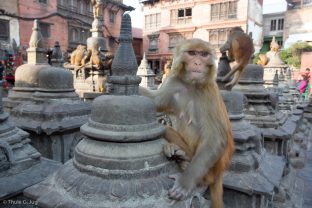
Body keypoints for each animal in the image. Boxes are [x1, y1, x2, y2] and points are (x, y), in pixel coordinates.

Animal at [140, 38, 234, 207]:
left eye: (203, 55)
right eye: (192, 53)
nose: (197, 62)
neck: (191, 84)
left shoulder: (208, 90)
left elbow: (215, 138)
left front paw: (185, 183)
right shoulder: (174, 81)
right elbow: (154, 101)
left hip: (215, 166)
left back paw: (188, 163)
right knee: (166, 128)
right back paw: (178, 152)